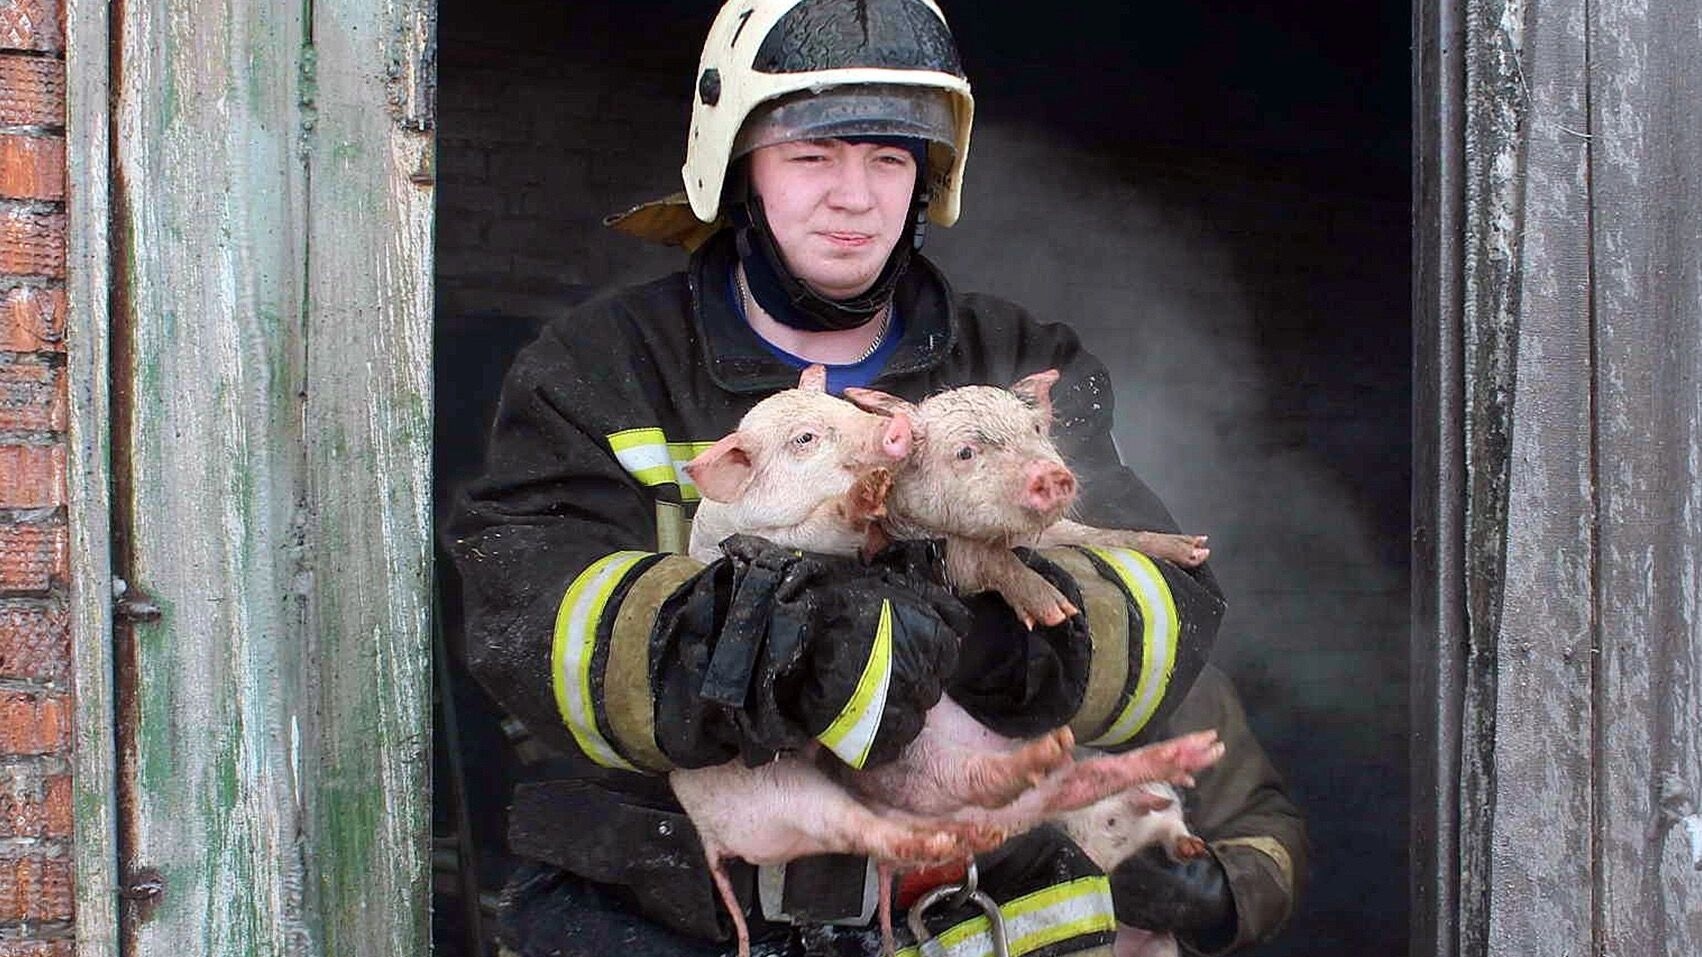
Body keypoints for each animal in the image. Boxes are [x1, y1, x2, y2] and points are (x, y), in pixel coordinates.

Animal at [674, 366, 1224, 957]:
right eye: (965, 452)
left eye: (1035, 428)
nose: (1049, 475)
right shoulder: (931, 549)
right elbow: (983, 557)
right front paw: (1055, 609)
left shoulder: (1060, 532)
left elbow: (1101, 537)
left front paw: (1192, 549)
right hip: (778, 799)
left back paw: (1177, 757)